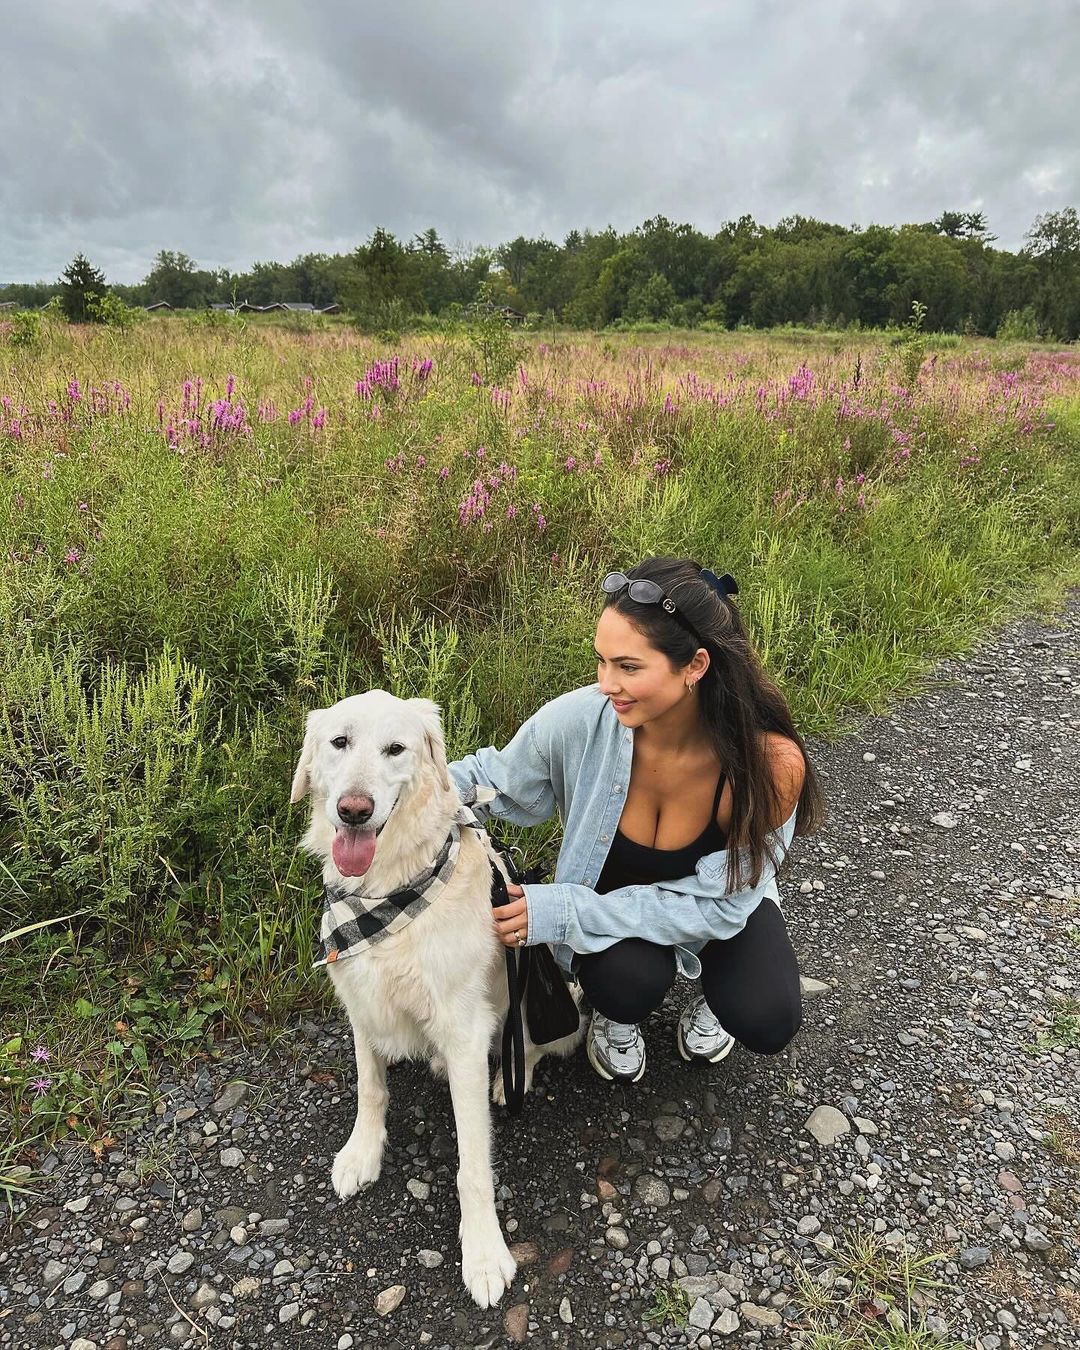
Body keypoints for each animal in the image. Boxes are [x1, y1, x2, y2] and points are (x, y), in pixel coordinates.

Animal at [288, 691, 583, 1301]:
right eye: (339, 742)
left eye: (396, 748)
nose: (353, 809)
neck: (387, 889)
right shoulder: (361, 1000)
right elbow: (370, 1088)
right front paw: (362, 1152)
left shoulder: (465, 1029)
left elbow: (473, 1165)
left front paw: (485, 1254)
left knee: (529, 1048)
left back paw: (508, 1080)